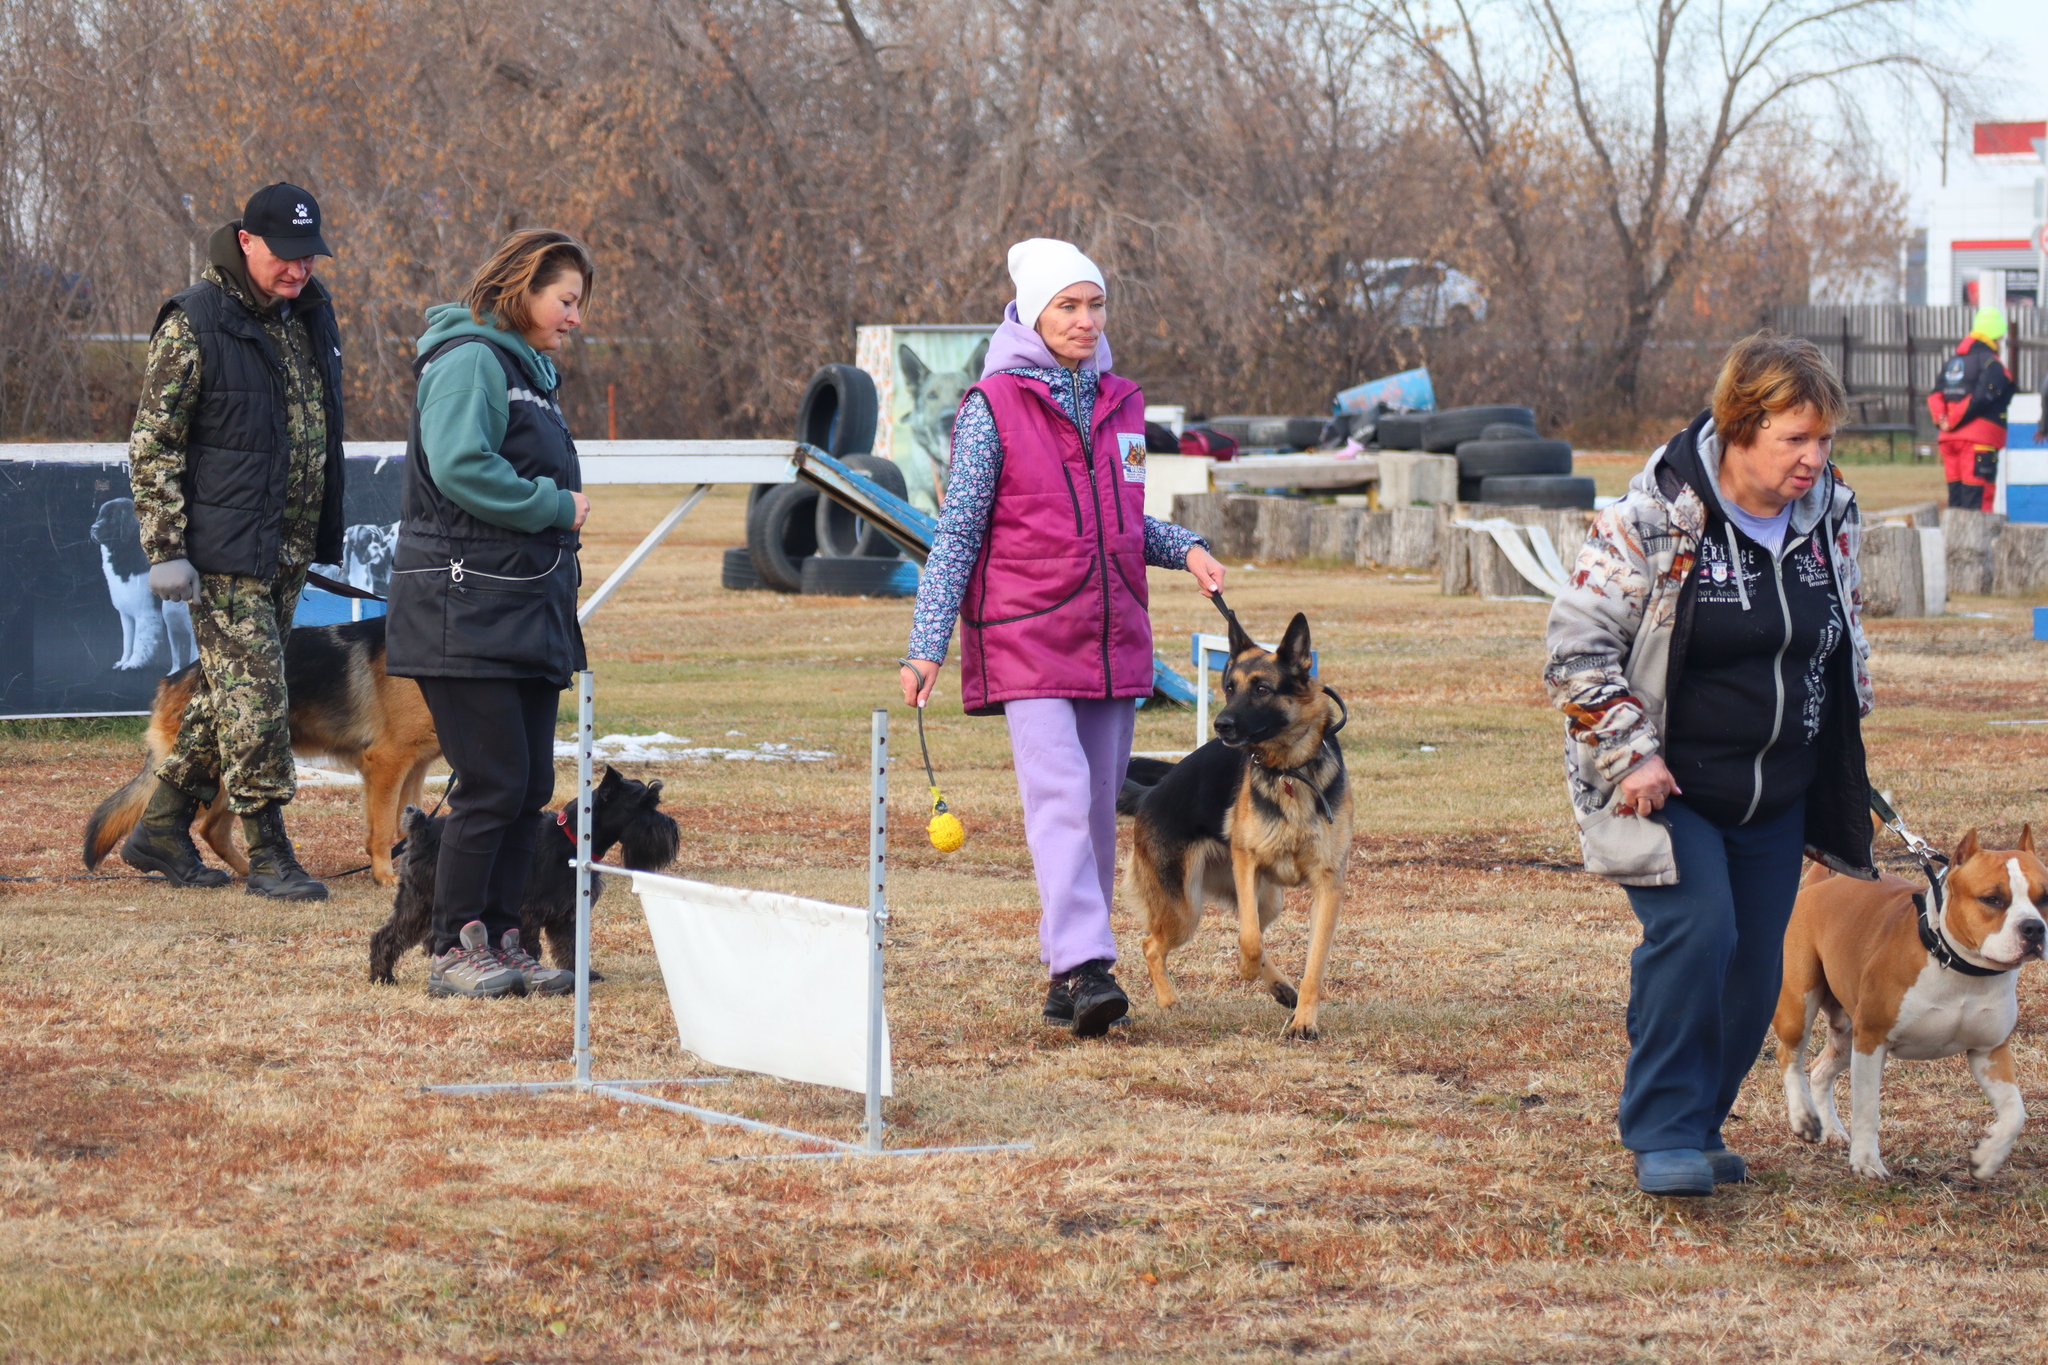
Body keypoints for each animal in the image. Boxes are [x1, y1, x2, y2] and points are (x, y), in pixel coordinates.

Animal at [87, 618, 444, 888]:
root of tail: (173, 679)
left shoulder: (415, 768)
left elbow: (407, 825)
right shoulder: (387, 764)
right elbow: (383, 829)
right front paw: (385, 876)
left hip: (242, 776)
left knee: (212, 830)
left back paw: (253, 874)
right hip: (215, 772)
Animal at [366, 769, 679, 982]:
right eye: (645, 805)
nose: (673, 828)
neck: (571, 839)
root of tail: (422, 828)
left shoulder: (567, 913)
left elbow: (571, 946)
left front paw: (583, 975)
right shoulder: (530, 910)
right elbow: (531, 944)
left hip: (416, 901)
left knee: (393, 934)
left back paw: (385, 973)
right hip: (423, 899)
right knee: (393, 935)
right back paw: (384, 976)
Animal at [1114, 613, 1351, 1039]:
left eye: (1262, 689)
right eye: (1228, 688)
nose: (1220, 725)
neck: (1288, 771)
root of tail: (1151, 795)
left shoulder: (1328, 885)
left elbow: (1314, 963)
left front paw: (1304, 1021)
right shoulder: (1247, 862)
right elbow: (1249, 939)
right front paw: (1246, 967)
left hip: (1267, 899)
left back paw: (1282, 988)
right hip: (1185, 908)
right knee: (1151, 944)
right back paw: (1170, 1000)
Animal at [1769, 826, 2039, 1178]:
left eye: (2044, 898)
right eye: (1992, 899)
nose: (2035, 928)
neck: (1959, 969)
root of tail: (1819, 885)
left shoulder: (1989, 1052)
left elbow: (2014, 1111)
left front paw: (1988, 1157)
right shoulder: (1871, 1041)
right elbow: (1867, 1108)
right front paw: (1866, 1163)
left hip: (1847, 1035)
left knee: (1820, 1069)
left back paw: (1830, 1129)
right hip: (1800, 1006)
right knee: (1789, 1055)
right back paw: (1804, 1117)